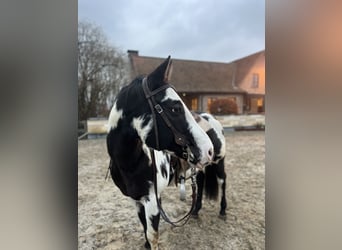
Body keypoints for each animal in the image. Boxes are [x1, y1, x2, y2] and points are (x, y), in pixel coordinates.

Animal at [107, 57, 214, 250]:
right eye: (175, 108)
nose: (208, 150)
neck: (130, 165)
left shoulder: (151, 201)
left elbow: (152, 235)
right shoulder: (138, 200)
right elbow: (144, 227)